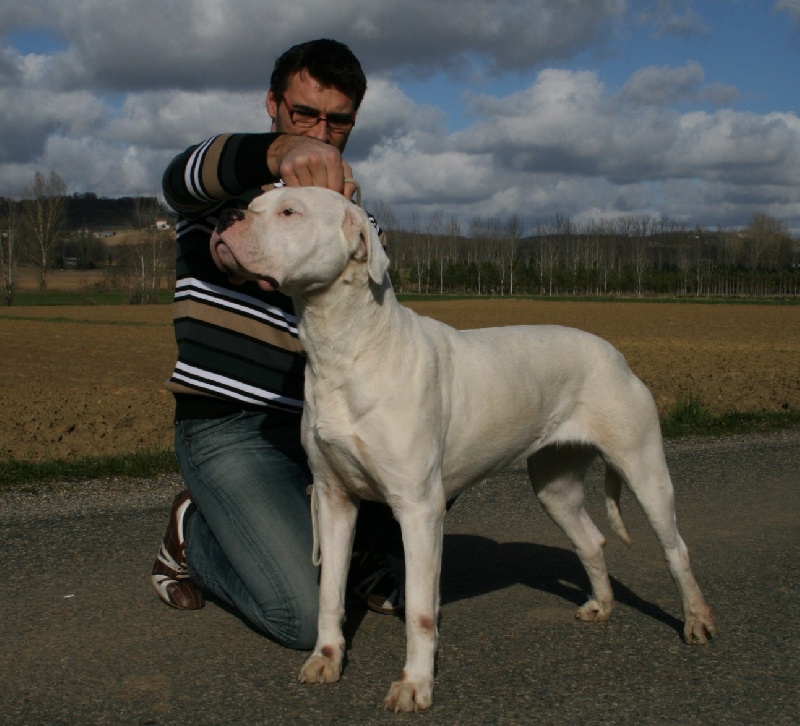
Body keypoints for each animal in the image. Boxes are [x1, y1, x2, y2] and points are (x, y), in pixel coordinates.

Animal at [209, 188, 716, 716]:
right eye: (255, 202)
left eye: (290, 211)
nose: (225, 216)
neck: (348, 348)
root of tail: (614, 353)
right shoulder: (332, 499)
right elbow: (329, 592)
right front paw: (326, 659)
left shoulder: (417, 508)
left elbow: (419, 609)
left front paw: (415, 684)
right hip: (554, 485)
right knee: (591, 540)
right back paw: (602, 604)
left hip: (644, 469)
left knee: (675, 549)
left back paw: (696, 620)